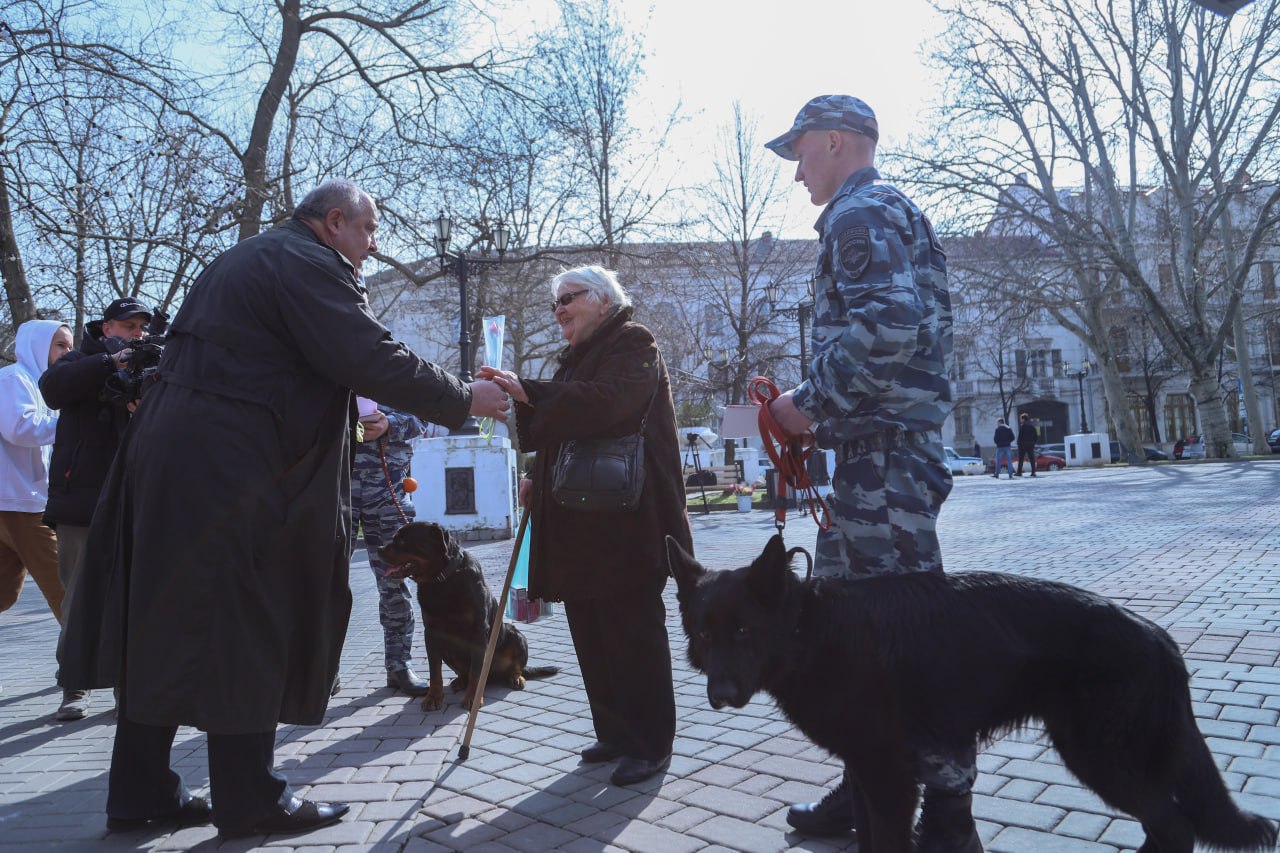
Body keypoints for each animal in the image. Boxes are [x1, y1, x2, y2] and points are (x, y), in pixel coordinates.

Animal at [381, 517, 558, 712]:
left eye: (402, 541)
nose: (379, 549)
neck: (442, 581)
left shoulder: (479, 631)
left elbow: (476, 671)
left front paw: (473, 698)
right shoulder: (432, 633)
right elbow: (434, 671)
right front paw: (433, 697)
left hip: (515, 635)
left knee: (513, 665)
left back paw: (515, 677)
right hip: (448, 647)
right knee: (463, 671)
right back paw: (459, 681)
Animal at [665, 535, 1274, 850]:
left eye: (745, 631)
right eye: (705, 634)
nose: (720, 694)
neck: (807, 631)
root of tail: (1161, 638)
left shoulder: (889, 775)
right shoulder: (866, 769)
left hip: (1096, 756)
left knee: (1174, 825)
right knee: (1167, 824)